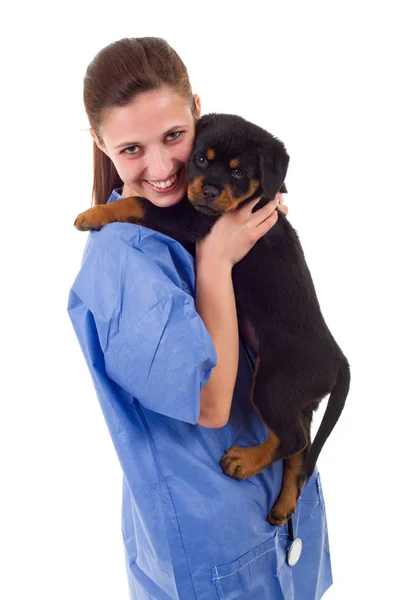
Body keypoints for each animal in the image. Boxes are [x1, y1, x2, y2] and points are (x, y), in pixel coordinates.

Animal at [75, 112, 350, 524]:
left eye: (238, 172)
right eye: (201, 160)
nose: (207, 191)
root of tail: (338, 359)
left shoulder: (191, 222)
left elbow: (139, 202)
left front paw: (93, 214)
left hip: (274, 384)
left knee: (294, 439)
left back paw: (244, 462)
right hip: (298, 398)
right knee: (299, 449)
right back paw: (283, 504)